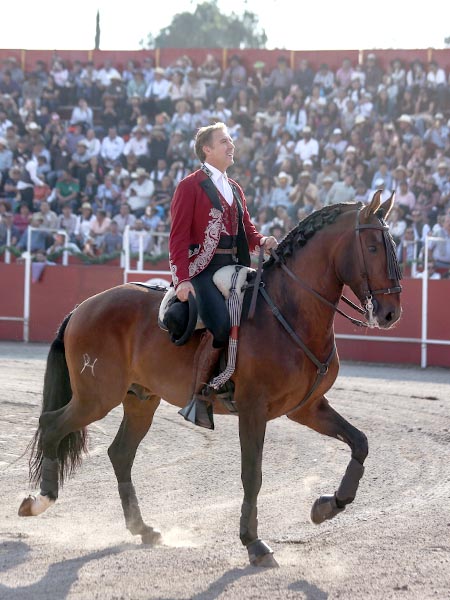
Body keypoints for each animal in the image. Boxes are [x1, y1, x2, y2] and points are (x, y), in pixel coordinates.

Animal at [19, 193, 402, 568]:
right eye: (372, 247)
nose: (390, 314)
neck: (288, 310)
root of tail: (83, 307)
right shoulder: (253, 410)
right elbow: (252, 474)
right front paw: (253, 543)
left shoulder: (307, 408)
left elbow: (360, 442)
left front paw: (327, 505)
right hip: (96, 397)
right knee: (52, 424)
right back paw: (39, 500)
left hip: (140, 400)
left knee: (120, 453)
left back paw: (142, 528)